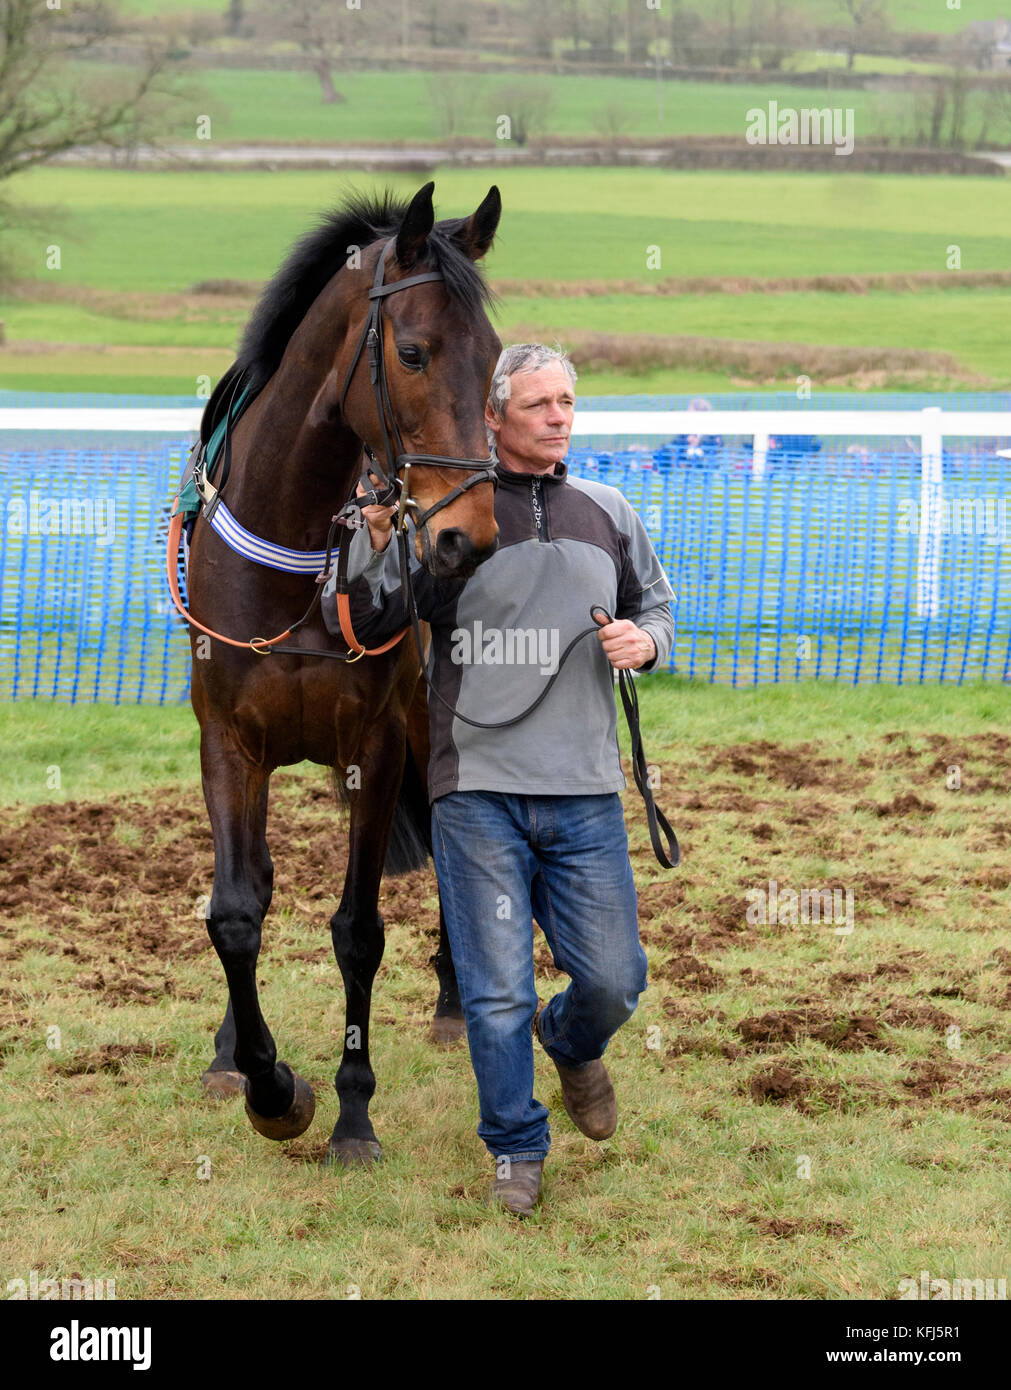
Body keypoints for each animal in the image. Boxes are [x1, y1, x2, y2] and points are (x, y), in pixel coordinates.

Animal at [182, 181, 502, 1165]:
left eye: (495, 359)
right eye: (413, 351)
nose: (466, 538)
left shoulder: (375, 742)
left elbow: (358, 931)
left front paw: (352, 1114)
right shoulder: (228, 740)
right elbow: (236, 909)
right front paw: (267, 1084)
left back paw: (453, 1003)